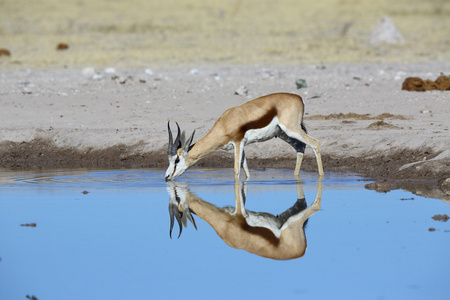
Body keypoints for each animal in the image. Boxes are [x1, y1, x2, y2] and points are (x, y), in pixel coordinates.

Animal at [165, 92, 324, 179]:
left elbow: (236, 169)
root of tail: (298, 98)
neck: (225, 123)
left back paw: (321, 177)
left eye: (177, 160)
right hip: (284, 134)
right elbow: (246, 169)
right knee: (300, 147)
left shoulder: (237, 142)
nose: (166, 177)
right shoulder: (241, 145)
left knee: (315, 143)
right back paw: (295, 177)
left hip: (292, 130)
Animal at [167, 178, 322, 260]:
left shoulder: (240, 211)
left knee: (316, 207)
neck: (226, 227)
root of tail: (301, 251)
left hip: (294, 222)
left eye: (177, 200)